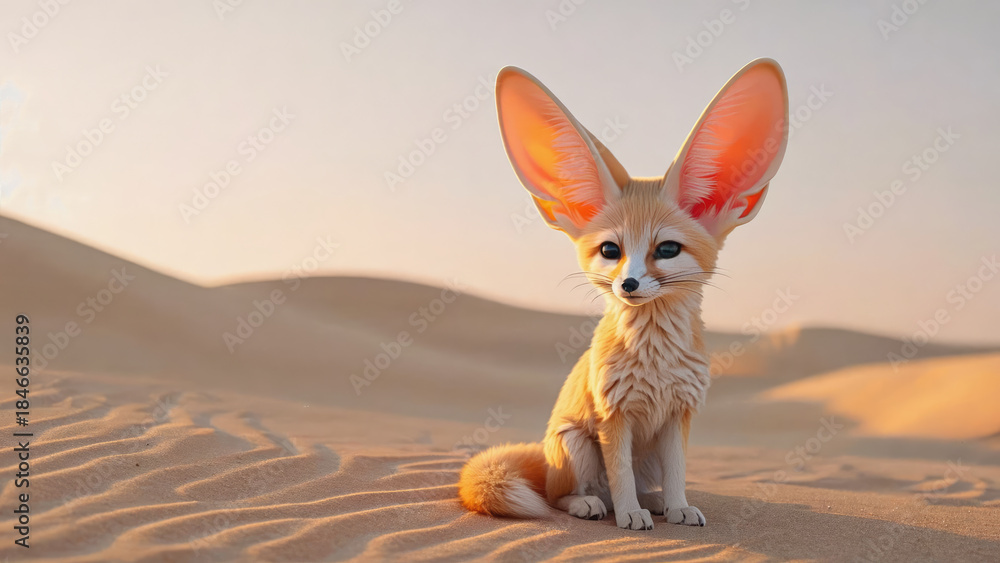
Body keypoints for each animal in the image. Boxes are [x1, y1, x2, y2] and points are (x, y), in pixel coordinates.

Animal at [458, 59, 789, 530]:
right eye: (610, 251)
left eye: (667, 250)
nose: (627, 285)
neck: (655, 360)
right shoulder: (613, 415)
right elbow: (619, 477)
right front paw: (633, 516)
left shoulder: (678, 414)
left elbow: (677, 473)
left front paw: (678, 506)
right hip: (575, 444)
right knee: (569, 495)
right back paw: (592, 504)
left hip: (642, 454)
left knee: (629, 485)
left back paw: (653, 502)